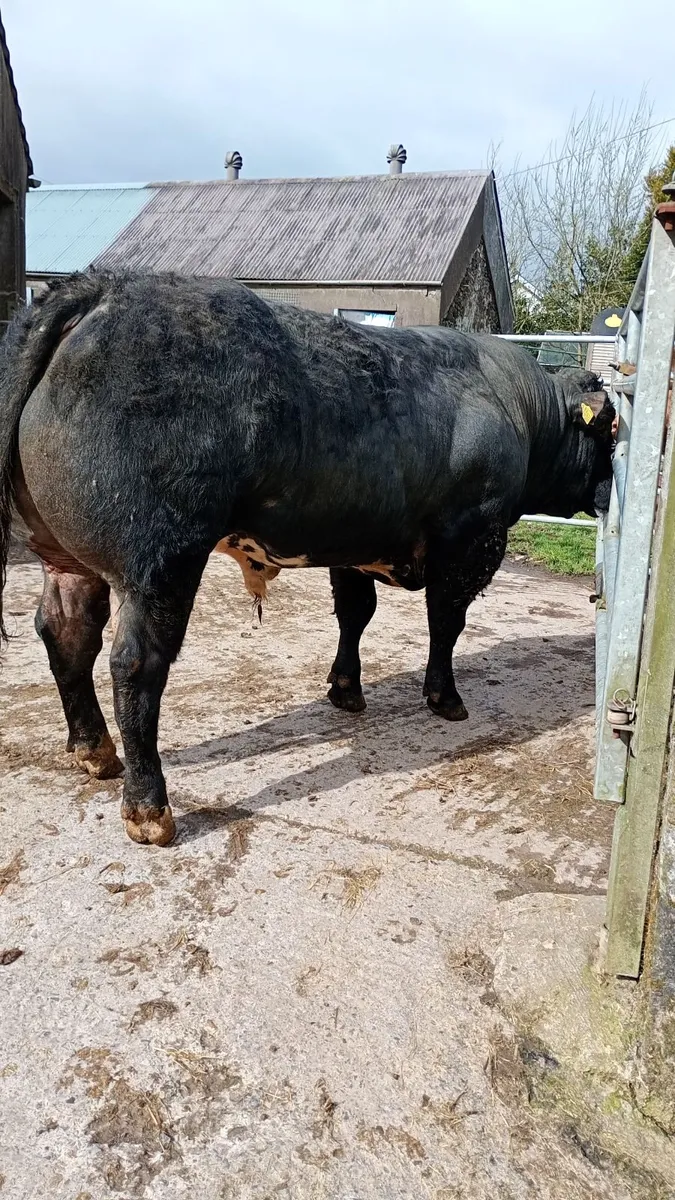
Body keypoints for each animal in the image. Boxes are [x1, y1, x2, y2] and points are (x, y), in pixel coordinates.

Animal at [0, 272, 614, 847]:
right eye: (610, 430)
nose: (610, 490)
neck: (519, 409)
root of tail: (102, 287)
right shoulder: (472, 539)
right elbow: (447, 622)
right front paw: (445, 695)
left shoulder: (354, 538)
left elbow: (355, 615)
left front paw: (345, 688)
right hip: (160, 562)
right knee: (135, 663)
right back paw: (149, 806)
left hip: (64, 555)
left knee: (66, 633)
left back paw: (94, 750)